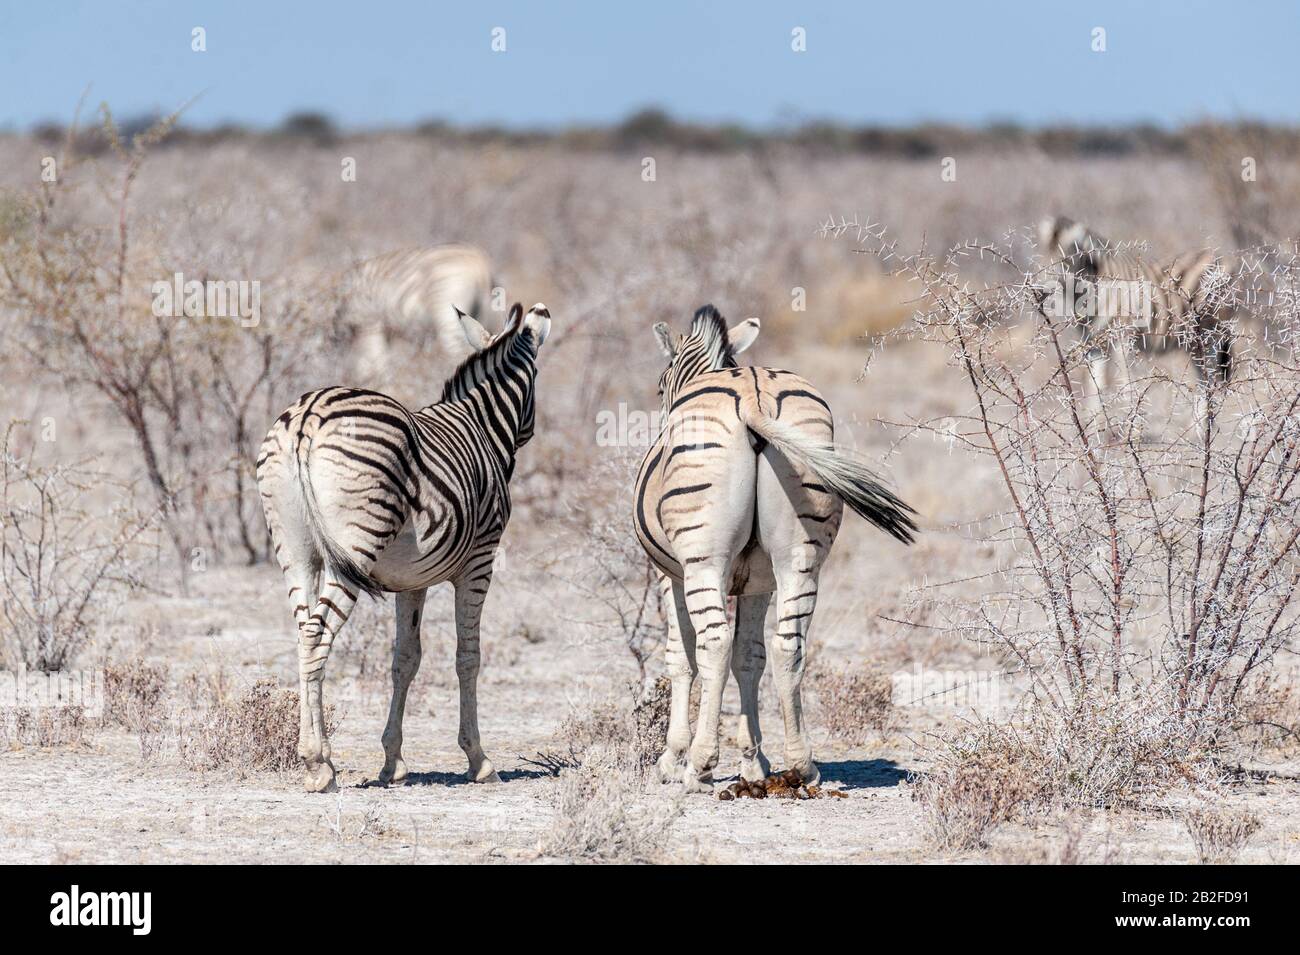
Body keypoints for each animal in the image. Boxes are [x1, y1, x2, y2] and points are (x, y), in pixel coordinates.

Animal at [256, 302, 551, 795]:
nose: (531, 432)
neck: (482, 427)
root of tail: (306, 416)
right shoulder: (479, 562)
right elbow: (468, 657)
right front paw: (478, 759)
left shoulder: (412, 580)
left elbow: (405, 660)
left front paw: (392, 762)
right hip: (356, 544)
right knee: (318, 633)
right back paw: (318, 763)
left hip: (294, 549)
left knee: (303, 633)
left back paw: (316, 756)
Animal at [629, 306, 915, 789]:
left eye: (659, 386)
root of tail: (754, 399)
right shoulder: (758, 583)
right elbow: (750, 656)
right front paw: (754, 761)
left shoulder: (671, 576)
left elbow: (681, 659)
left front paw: (673, 757)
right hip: (800, 556)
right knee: (788, 647)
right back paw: (802, 764)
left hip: (704, 561)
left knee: (714, 644)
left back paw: (700, 765)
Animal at [1034, 214, 1237, 402]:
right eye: (1041, 255)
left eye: (1066, 258)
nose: (1039, 292)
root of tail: (1221, 257)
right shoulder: (1095, 344)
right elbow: (1095, 391)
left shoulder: (1123, 339)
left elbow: (1126, 386)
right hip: (1196, 343)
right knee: (1206, 385)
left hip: (1213, 335)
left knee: (1213, 381)